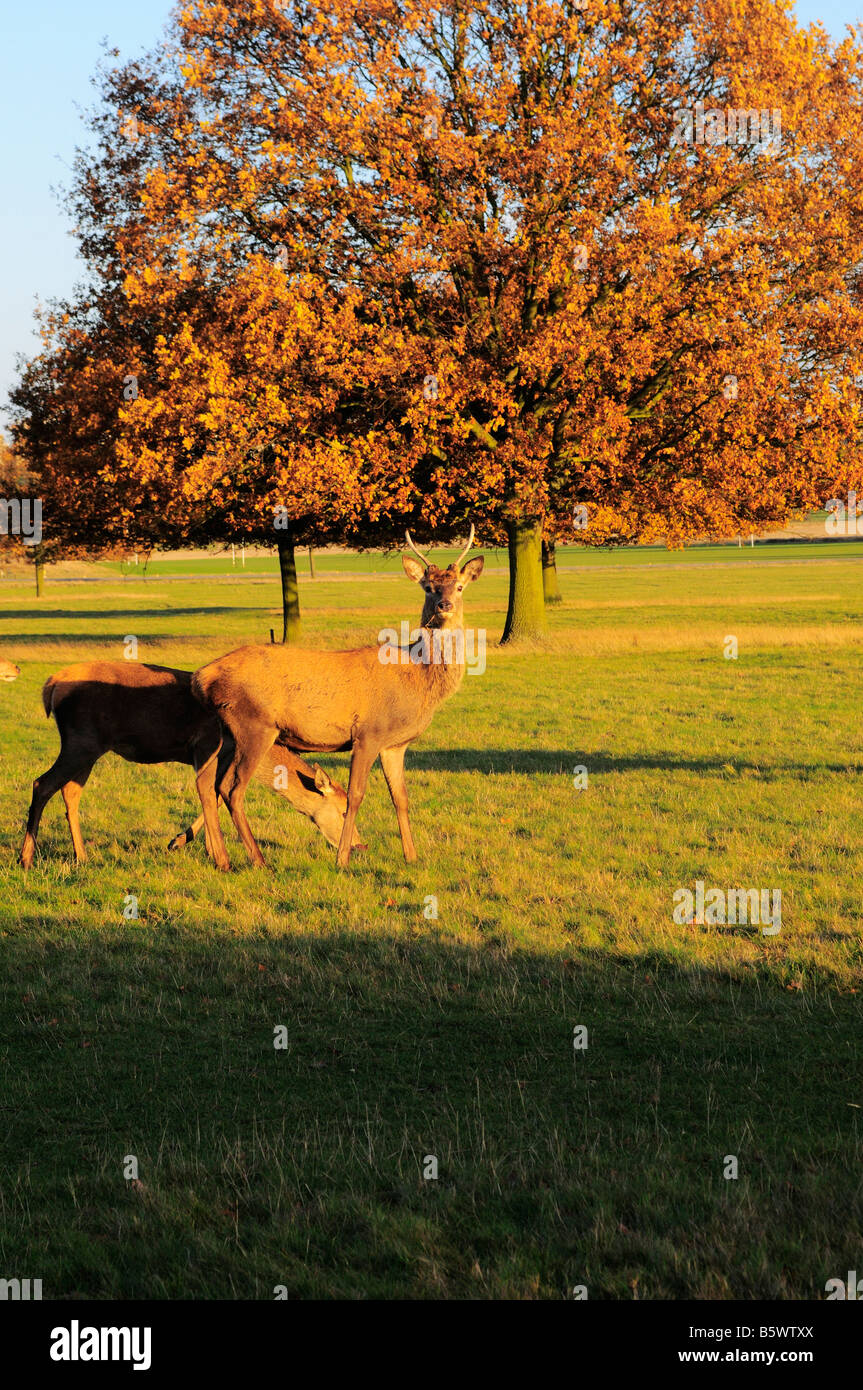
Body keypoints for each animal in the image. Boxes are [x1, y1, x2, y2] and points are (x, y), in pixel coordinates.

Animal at [16, 661, 361, 867]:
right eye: (344, 810)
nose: (360, 846)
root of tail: (51, 687)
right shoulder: (207, 743)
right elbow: (210, 793)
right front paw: (218, 857)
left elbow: (215, 796)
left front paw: (187, 842)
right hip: (81, 741)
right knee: (42, 784)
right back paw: (26, 858)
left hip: (90, 747)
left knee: (70, 792)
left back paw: (82, 855)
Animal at [190, 522, 483, 867]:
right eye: (428, 587)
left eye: (459, 587)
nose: (444, 605)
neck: (417, 677)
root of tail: (202, 675)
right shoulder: (368, 733)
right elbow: (356, 795)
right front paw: (342, 858)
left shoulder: (395, 744)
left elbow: (401, 797)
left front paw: (411, 856)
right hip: (255, 725)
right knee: (232, 789)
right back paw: (258, 859)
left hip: (227, 733)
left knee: (208, 783)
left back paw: (220, 857)